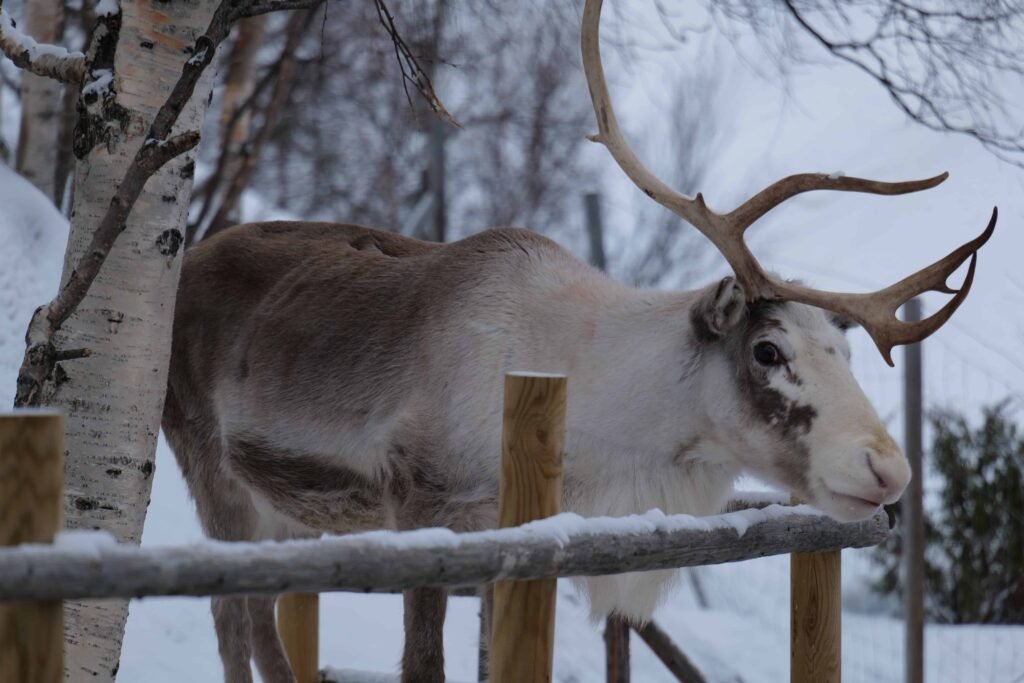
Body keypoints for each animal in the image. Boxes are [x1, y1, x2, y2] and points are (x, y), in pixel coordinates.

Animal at [161, 0, 997, 680]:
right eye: (768, 350)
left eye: (846, 351)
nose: (888, 468)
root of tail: (191, 257)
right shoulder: (420, 502)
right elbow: (421, 664)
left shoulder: (513, 554)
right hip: (213, 473)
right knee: (231, 620)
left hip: (285, 513)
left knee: (261, 625)